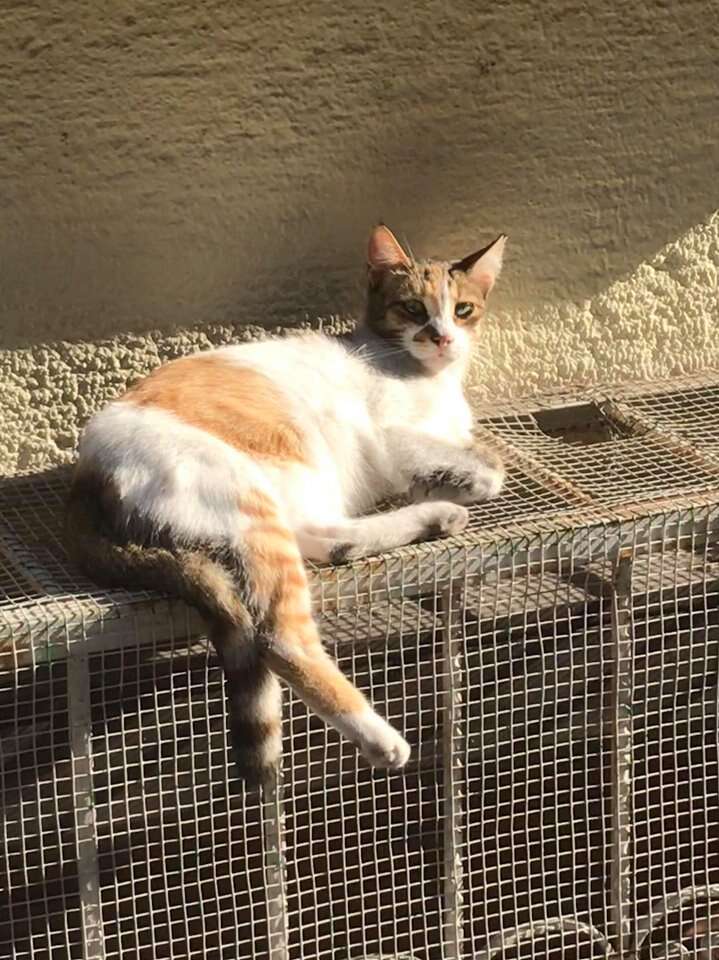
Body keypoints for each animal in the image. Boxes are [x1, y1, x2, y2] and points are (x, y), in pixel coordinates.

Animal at [66, 225, 506, 780]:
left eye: (463, 309)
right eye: (412, 309)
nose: (443, 337)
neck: (427, 378)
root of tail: (86, 475)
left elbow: (473, 457)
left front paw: (443, 484)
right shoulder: (394, 437)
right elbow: (490, 471)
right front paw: (458, 479)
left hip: (285, 496)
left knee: (328, 538)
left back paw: (433, 517)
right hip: (247, 500)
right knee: (280, 636)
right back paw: (380, 739)